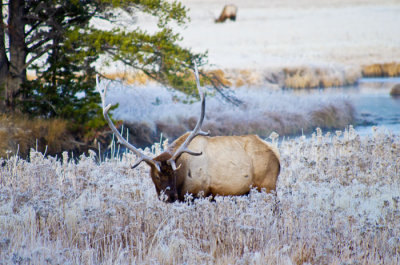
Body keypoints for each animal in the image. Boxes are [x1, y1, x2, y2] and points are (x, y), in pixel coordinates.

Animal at [95, 64, 280, 202]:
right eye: (156, 176)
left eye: (173, 173)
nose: (169, 196)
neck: (183, 175)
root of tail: (277, 156)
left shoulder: (200, 194)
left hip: (268, 186)